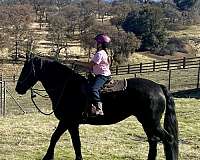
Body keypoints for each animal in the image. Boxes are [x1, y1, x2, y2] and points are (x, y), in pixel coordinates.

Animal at [15, 55, 178, 160]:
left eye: (26, 70)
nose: (18, 88)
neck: (67, 87)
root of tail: (158, 87)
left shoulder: (67, 121)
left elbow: (56, 138)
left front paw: (47, 157)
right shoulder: (72, 124)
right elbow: (75, 143)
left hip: (152, 122)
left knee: (168, 139)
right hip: (146, 123)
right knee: (153, 141)